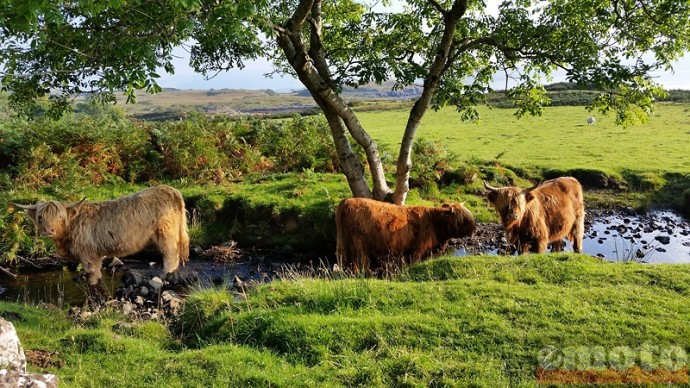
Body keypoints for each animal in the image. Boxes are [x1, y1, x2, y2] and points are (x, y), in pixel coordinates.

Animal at [13, 185, 189, 284]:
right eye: (40, 217)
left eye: (60, 217)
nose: (49, 230)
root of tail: (171, 190)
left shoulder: (88, 255)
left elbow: (92, 276)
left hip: (166, 233)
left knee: (171, 254)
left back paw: (166, 274)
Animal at [334, 197, 472, 272]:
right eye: (463, 220)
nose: (474, 229)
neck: (434, 221)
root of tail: (346, 201)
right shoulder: (417, 250)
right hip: (358, 244)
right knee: (360, 262)